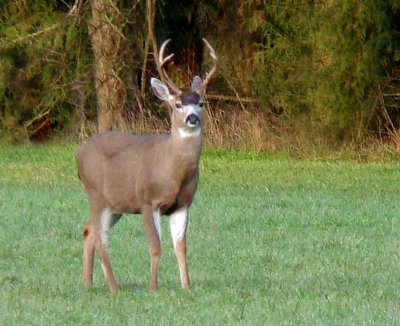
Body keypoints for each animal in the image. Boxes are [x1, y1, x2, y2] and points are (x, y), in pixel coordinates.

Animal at [76, 38, 217, 292]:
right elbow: (155, 245)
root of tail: (77, 153)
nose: (192, 118)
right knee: (100, 238)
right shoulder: (147, 200)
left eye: (201, 103)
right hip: (96, 194)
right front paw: (153, 287)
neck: (172, 170)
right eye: (178, 104)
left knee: (88, 230)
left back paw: (88, 283)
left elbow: (181, 247)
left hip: (115, 204)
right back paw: (114, 287)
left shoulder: (183, 204)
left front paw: (186, 285)